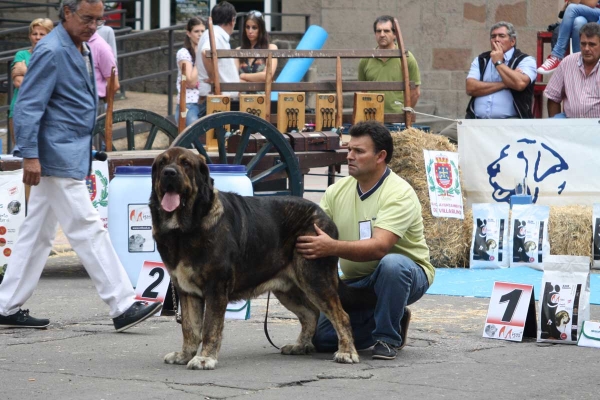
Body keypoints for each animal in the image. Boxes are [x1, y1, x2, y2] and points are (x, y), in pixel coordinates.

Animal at [150, 148, 368, 370]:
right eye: (162, 163)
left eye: (186, 164)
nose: (169, 173)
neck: (184, 230)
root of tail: (325, 216)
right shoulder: (187, 291)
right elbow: (190, 327)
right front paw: (185, 355)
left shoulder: (215, 288)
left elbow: (210, 327)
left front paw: (205, 358)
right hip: (288, 288)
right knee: (310, 314)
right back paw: (300, 346)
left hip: (314, 279)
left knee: (341, 316)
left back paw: (347, 352)